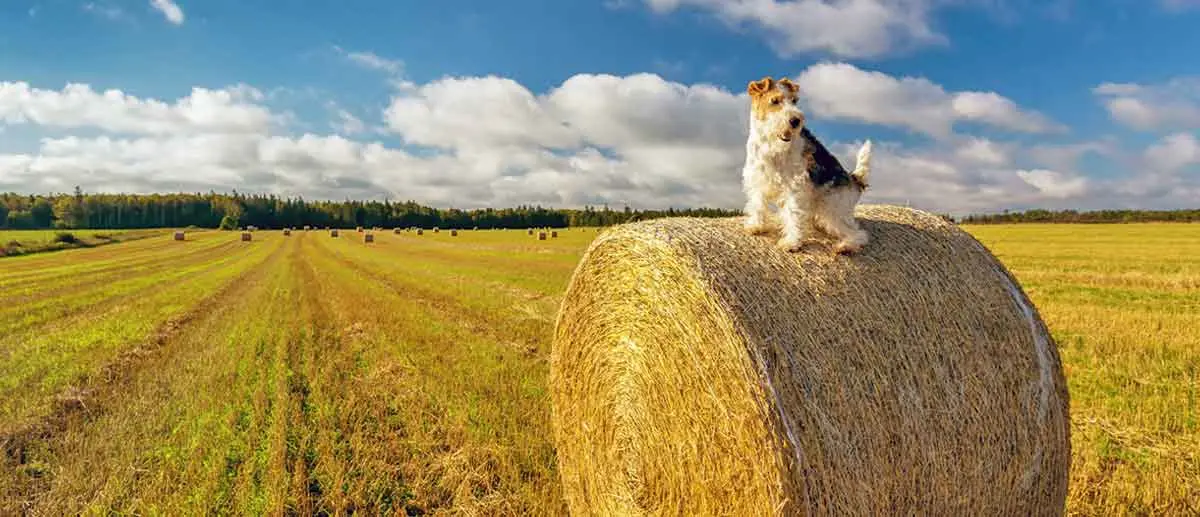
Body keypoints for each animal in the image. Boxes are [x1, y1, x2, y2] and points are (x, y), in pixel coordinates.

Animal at [739, 76, 873, 255]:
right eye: (774, 101)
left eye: (794, 101)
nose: (795, 121)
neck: (771, 143)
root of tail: (854, 180)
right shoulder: (757, 178)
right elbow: (757, 204)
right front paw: (755, 226)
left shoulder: (794, 185)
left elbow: (792, 213)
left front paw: (791, 242)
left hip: (831, 209)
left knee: (858, 233)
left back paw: (845, 246)